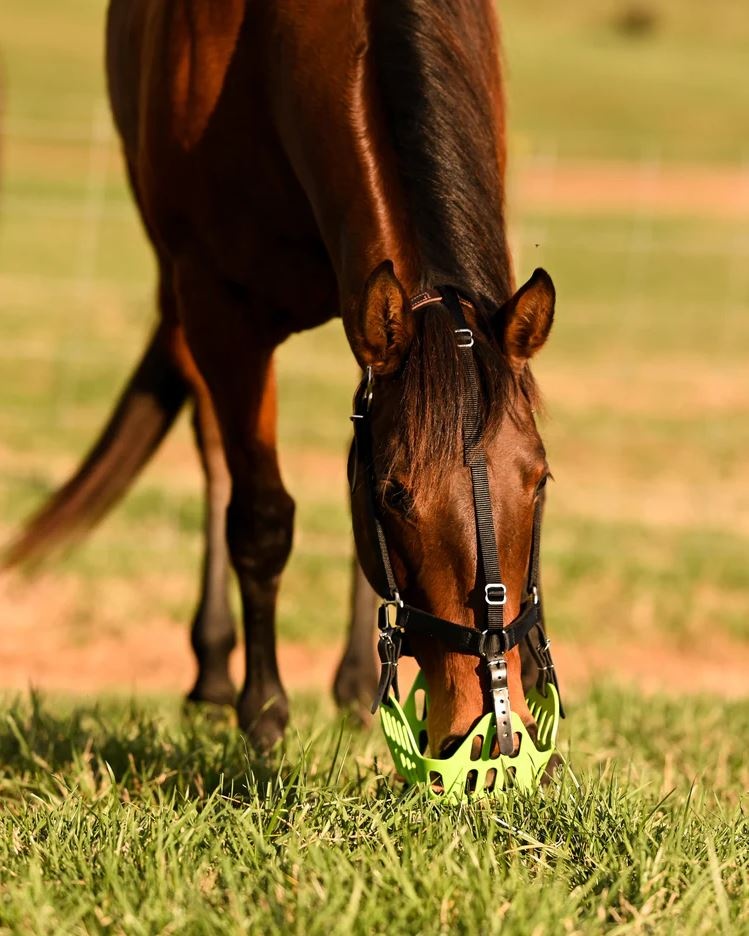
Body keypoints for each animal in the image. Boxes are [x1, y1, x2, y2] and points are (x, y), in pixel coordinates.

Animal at [7, 0, 557, 756]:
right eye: (395, 496)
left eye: (540, 480)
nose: (490, 732)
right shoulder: (219, 303)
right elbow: (261, 517)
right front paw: (263, 712)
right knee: (215, 457)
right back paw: (215, 671)